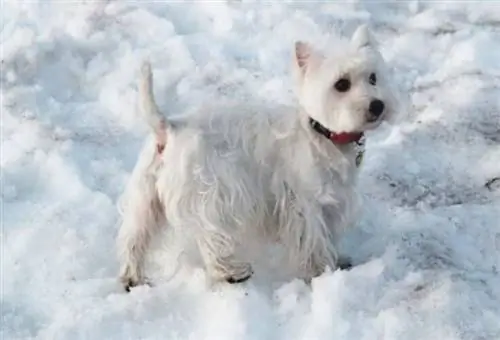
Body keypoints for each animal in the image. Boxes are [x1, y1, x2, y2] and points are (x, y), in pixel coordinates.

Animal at [115, 23, 400, 290]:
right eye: (341, 84)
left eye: (373, 77)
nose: (377, 105)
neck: (322, 134)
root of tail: (169, 127)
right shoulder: (304, 201)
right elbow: (313, 239)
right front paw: (320, 271)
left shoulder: (331, 203)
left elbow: (328, 234)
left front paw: (338, 260)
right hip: (210, 194)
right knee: (211, 238)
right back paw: (232, 272)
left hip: (146, 197)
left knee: (135, 238)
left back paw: (132, 278)